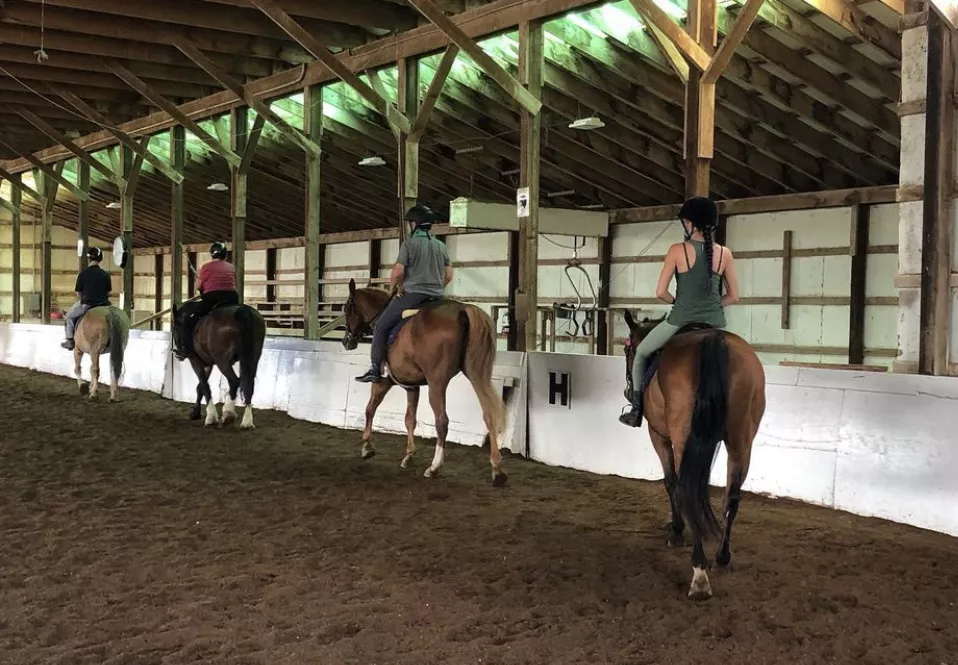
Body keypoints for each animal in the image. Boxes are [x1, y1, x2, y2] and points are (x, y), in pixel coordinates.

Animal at [172, 300, 266, 428]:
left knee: (234, 381)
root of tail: (244, 311)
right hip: (253, 357)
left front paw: (211, 417)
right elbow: (200, 387)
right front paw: (195, 413)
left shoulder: (195, 361)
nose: (179, 352)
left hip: (222, 361)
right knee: (249, 384)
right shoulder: (208, 364)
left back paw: (228, 413)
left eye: (174, 326)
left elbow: (204, 386)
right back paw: (247, 421)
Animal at [344, 278, 510, 486]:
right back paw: (497, 470)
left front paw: (366, 447)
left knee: (442, 421)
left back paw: (434, 467)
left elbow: (370, 409)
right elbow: (410, 419)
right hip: (476, 374)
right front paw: (409, 456)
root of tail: (463, 309)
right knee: (488, 414)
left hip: (437, 382)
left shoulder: (383, 381)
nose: (346, 341)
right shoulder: (412, 387)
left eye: (346, 308)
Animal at [624, 312, 772, 600]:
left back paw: (699, 572)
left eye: (627, 349)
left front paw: (676, 531)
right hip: (741, 443)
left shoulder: (658, 435)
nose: (627, 391)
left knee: (687, 489)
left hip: (683, 438)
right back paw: (722, 557)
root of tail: (714, 341)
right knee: (731, 496)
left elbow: (671, 481)